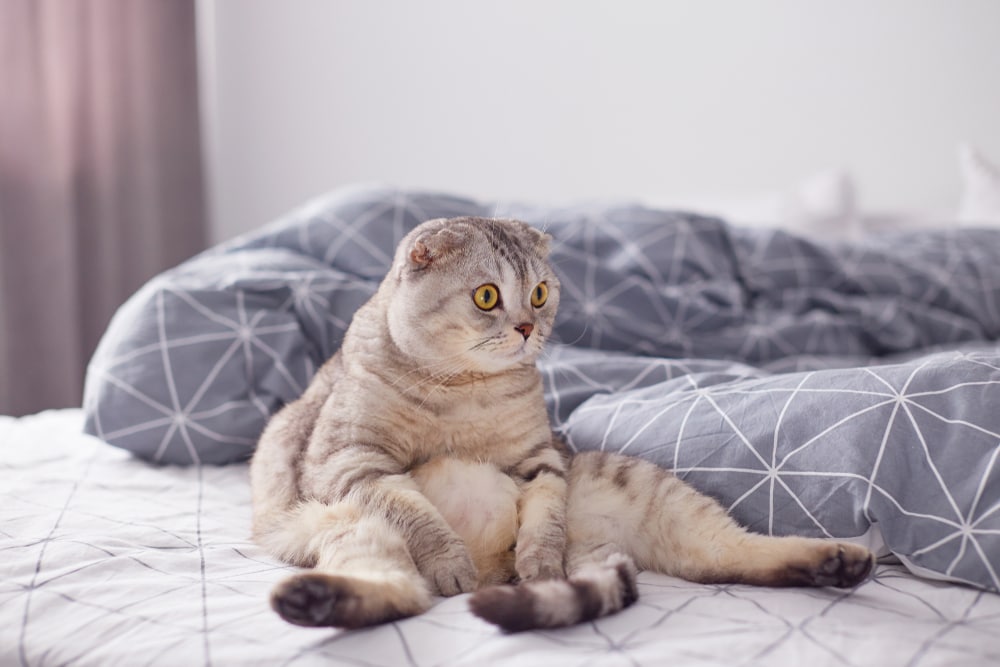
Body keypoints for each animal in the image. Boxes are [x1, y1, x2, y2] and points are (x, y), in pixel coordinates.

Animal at [250, 217, 876, 636]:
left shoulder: (541, 460)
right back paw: (313, 601)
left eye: (540, 293)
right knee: (402, 592)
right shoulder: (349, 464)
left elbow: (544, 518)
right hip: (349, 528)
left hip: (647, 491)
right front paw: (451, 561)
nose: (528, 327)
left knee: (731, 554)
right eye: (487, 296)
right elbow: (421, 519)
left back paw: (840, 562)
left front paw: (540, 564)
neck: (464, 391)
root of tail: (494, 572)